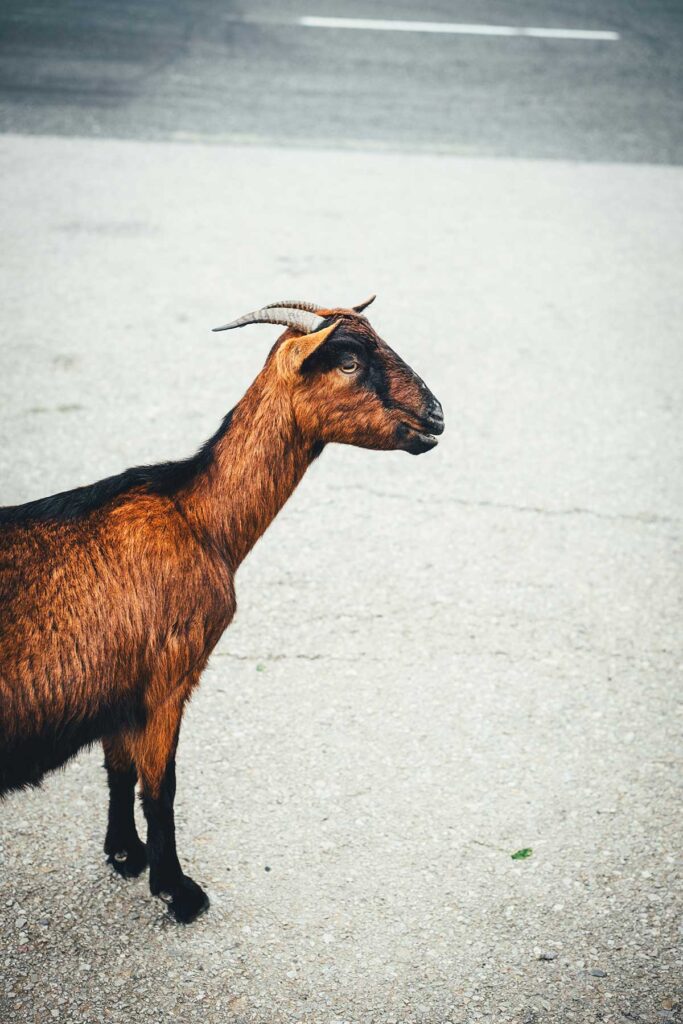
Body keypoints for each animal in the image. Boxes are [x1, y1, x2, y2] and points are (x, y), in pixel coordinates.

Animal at [0, 296, 444, 922]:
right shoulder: (167, 678)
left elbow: (118, 769)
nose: (437, 417)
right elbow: (160, 789)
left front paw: (124, 854)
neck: (197, 517)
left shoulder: (122, 686)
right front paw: (178, 891)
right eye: (349, 361)